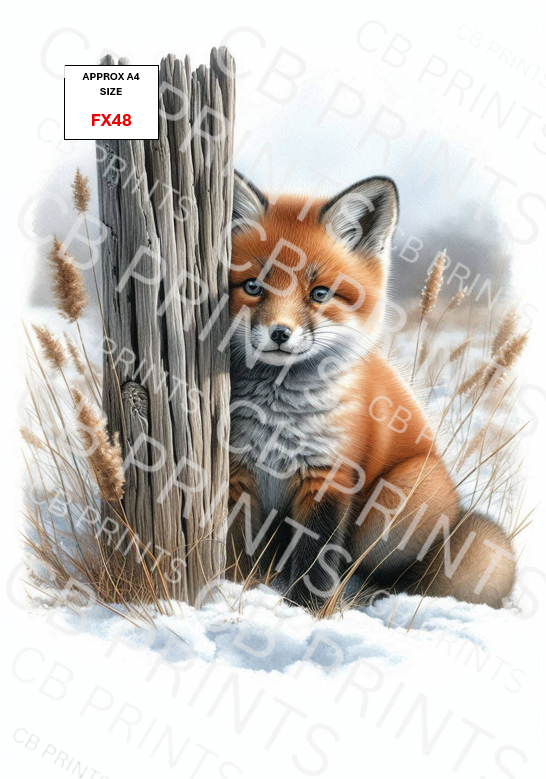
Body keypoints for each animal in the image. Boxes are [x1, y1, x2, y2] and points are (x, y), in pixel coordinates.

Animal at [226, 171, 516, 611]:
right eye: (253, 287)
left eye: (320, 294)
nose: (279, 334)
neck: (278, 418)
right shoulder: (237, 472)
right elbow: (234, 545)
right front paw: (228, 589)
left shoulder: (329, 476)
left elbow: (315, 556)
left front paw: (306, 611)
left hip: (400, 496)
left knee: (387, 574)